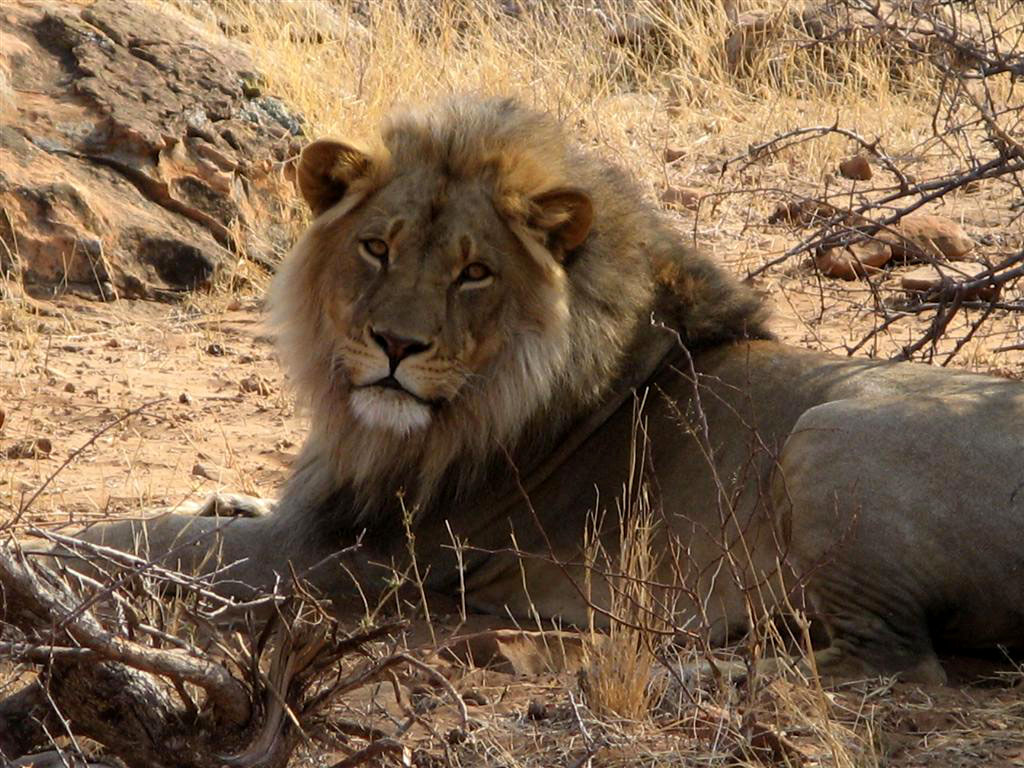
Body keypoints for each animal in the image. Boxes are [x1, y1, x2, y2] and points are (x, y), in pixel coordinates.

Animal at [74, 97, 1023, 685]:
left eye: (475, 273)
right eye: (378, 248)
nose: (395, 346)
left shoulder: (358, 561)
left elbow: (154, 543)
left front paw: (64, 552)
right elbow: (208, 512)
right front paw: (213, 497)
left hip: (827, 432)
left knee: (892, 664)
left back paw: (689, 667)